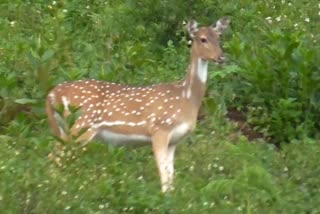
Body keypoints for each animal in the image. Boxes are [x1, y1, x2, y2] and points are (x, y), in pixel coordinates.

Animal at [45, 17, 230, 192]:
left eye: (219, 37)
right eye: (202, 39)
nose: (221, 57)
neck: (186, 98)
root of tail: (53, 94)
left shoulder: (174, 140)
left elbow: (170, 178)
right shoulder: (160, 129)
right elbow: (164, 177)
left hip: (65, 128)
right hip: (80, 125)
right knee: (54, 158)